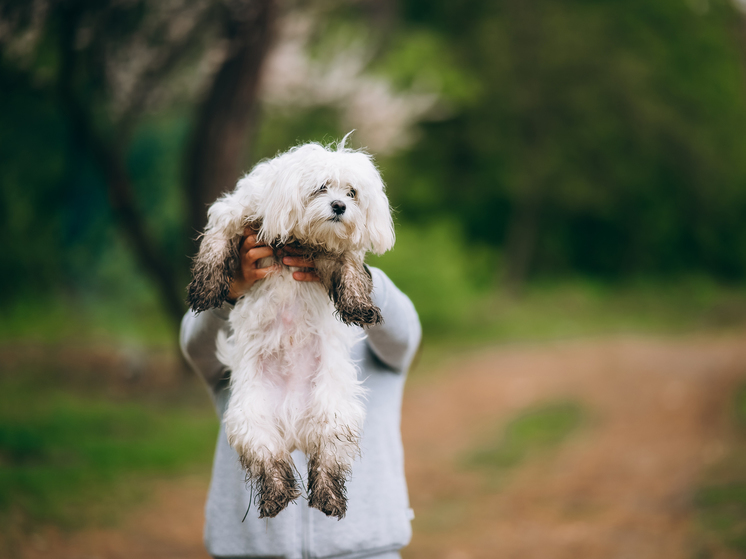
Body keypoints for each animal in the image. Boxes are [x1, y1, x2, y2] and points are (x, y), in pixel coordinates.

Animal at [186, 139, 396, 520]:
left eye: (352, 193)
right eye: (322, 188)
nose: (340, 206)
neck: (304, 238)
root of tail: (293, 427)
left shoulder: (331, 257)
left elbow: (351, 264)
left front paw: (359, 304)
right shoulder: (236, 212)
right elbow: (216, 242)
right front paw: (207, 288)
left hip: (333, 415)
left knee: (325, 461)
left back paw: (327, 498)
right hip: (251, 420)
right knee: (270, 460)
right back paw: (276, 496)